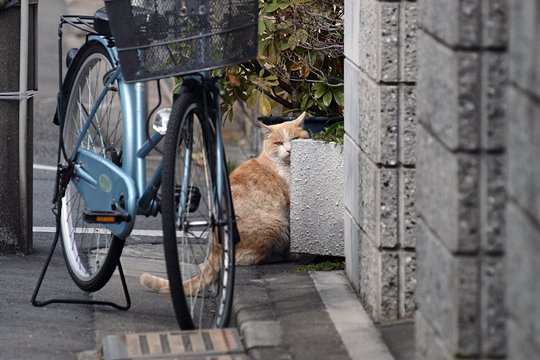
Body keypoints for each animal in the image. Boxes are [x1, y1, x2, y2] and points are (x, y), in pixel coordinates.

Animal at [139, 113, 308, 296]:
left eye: (295, 139)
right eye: (279, 143)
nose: (290, 150)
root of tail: (215, 246)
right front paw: (294, 253)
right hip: (276, 226)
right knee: (245, 259)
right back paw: (282, 256)